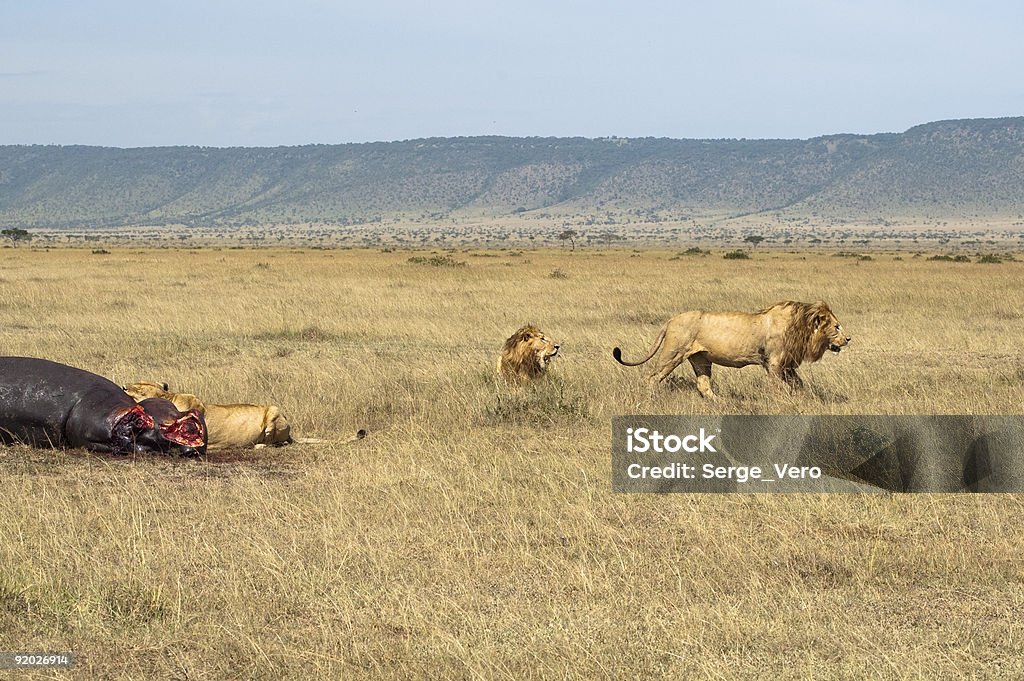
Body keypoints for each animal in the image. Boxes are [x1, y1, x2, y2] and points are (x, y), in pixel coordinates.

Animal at [610, 299, 851, 399]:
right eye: (836, 326)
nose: (849, 338)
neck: (802, 330)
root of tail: (670, 320)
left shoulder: (787, 365)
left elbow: (798, 384)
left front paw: (804, 398)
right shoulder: (774, 363)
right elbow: (778, 388)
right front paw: (784, 402)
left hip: (701, 359)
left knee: (703, 386)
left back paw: (723, 404)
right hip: (673, 354)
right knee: (652, 378)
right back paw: (651, 398)